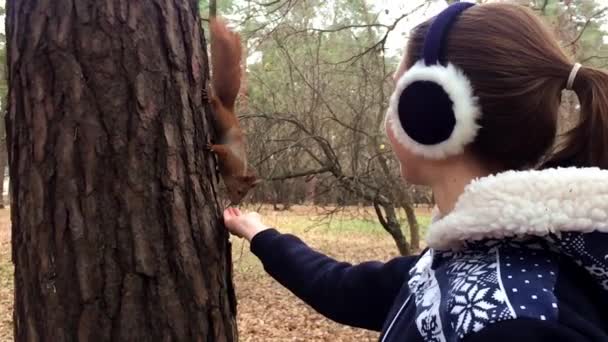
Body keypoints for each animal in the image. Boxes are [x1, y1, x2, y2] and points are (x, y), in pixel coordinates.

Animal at [202, 17, 258, 204]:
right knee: (215, 104)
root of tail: (229, 110)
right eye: (240, 191)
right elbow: (222, 150)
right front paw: (211, 147)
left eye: (244, 194)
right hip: (220, 115)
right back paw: (210, 97)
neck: (235, 171)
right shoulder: (229, 157)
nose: (235, 203)